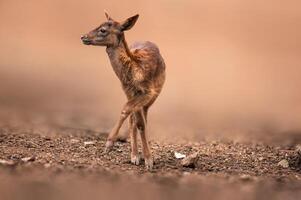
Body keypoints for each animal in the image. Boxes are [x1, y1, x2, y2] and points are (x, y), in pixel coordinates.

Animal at [81, 12, 165, 169]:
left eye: (103, 30)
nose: (83, 36)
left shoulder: (148, 92)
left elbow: (136, 119)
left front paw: (149, 161)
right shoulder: (129, 91)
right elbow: (134, 119)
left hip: (153, 97)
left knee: (141, 119)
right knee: (133, 121)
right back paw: (134, 156)